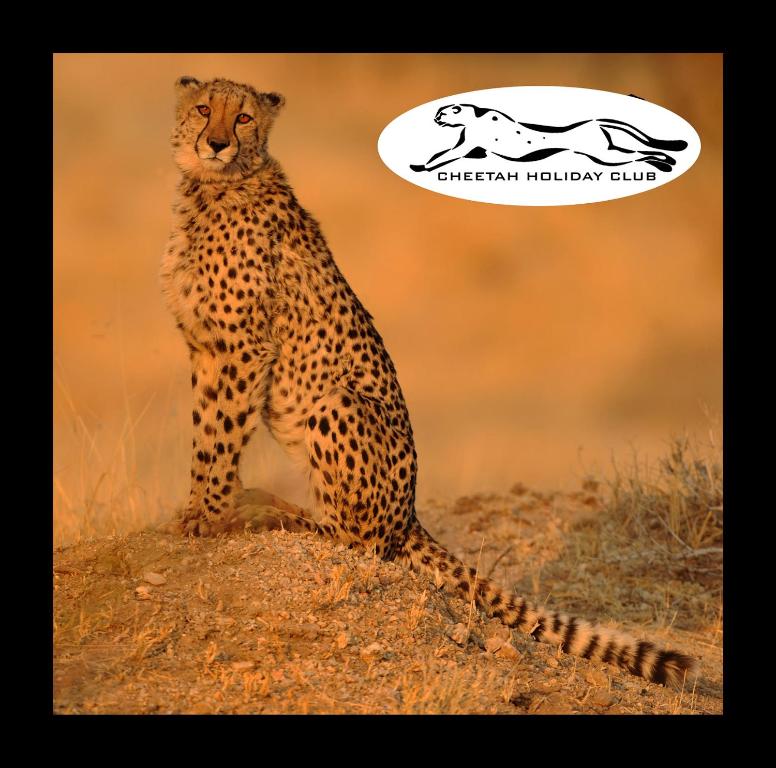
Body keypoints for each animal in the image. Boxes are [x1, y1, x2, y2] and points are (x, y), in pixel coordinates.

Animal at [160, 76, 696, 688]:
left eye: (244, 117)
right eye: (204, 108)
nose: (217, 143)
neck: (212, 187)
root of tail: (410, 513)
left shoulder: (242, 347)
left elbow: (221, 436)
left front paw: (209, 515)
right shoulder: (206, 348)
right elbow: (205, 434)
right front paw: (196, 509)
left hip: (339, 402)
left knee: (358, 541)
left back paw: (271, 514)